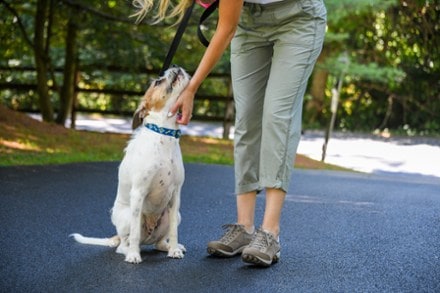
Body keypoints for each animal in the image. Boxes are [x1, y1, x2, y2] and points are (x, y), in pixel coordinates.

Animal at [70, 66, 189, 262]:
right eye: (158, 81)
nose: (176, 67)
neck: (164, 135)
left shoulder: (176, 195)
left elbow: (174, 231)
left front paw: (174, 250)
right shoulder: (139, 192)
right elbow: (134, 234)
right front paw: (134, 256)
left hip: (175, 214)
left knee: (159, 242)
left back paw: (171, 247)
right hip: (128, 217)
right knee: (124, 243)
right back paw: (130, 251)